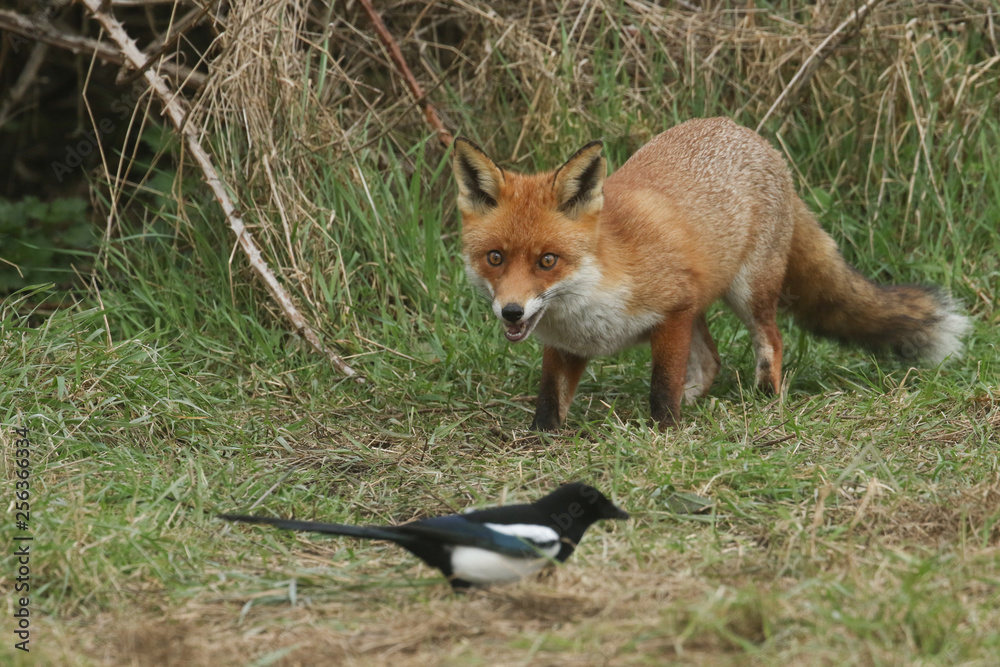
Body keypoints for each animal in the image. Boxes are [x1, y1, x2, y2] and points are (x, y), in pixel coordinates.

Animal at [454, 117, 968, 430]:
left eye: (547, 261)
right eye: (495, 258)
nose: (511, 311)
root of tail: (757, 140)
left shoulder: (672, 313)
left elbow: (662, 387)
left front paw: (664, 432)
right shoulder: (567, 347)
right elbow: (549, 401)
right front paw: (540, 440)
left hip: (748, 293)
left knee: (770, 341)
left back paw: (766, 397)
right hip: (705, 299)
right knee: (713, 361)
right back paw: (700, 400)